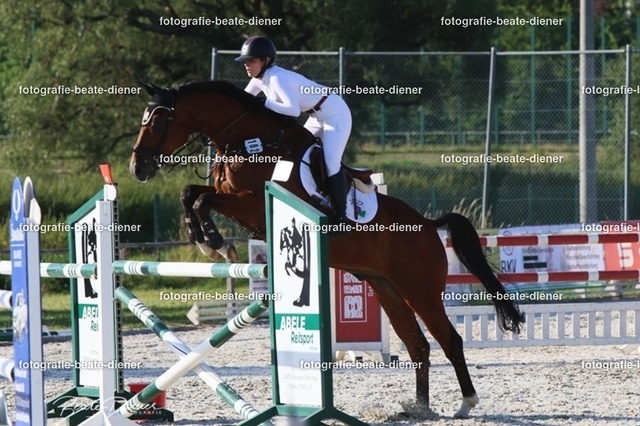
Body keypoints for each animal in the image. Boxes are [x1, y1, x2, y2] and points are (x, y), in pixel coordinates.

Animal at [130, 80, 525, 419]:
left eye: (160, 119)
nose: (137, 168)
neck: (248, 140)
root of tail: (428, 225)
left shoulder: (253, 204)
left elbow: (202, 199)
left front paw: (212, 242)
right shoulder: (234, 199)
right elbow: (191, 194)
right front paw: (209, 242)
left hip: (421, 291)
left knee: (449, 340)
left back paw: (465, 404)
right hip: (388, 289)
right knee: (418, 345)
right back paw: (418, 409)